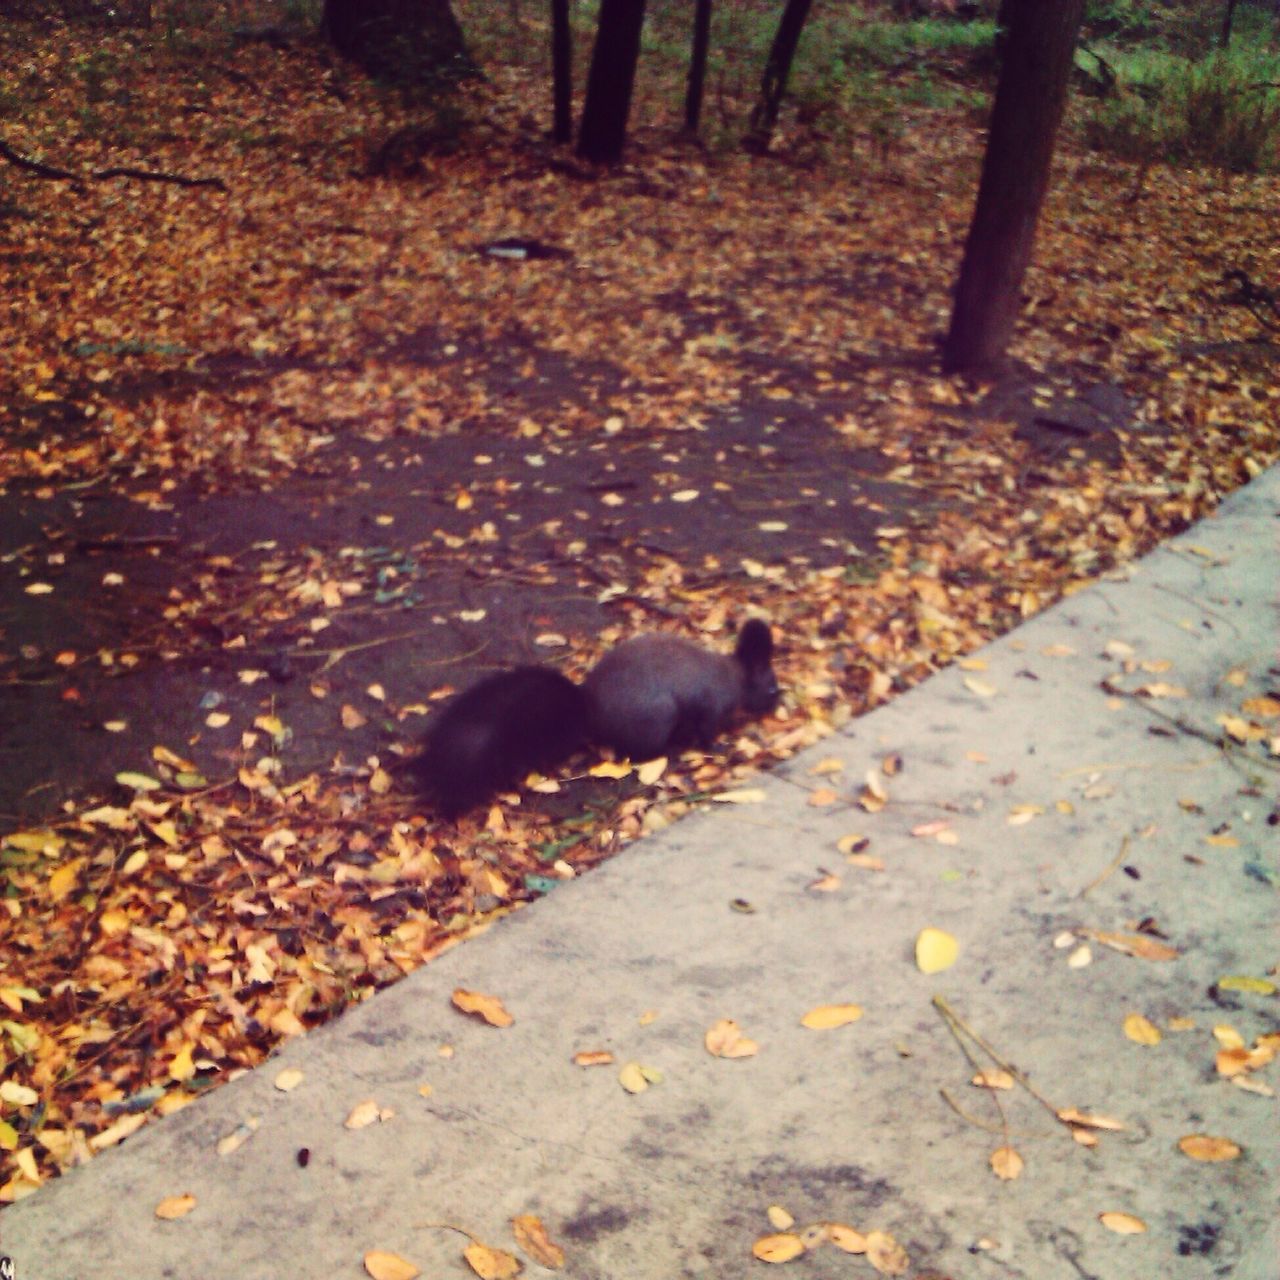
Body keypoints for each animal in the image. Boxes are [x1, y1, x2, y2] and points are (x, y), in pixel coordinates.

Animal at [417, 619, 778, 819]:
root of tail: (589, 710)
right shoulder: (710, 707)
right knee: (639, 750)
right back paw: (670, 751)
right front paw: (719, 746)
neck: (734, 677)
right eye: (772, 687)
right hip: (656, 718)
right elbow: (706, 731)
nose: (778, 705)